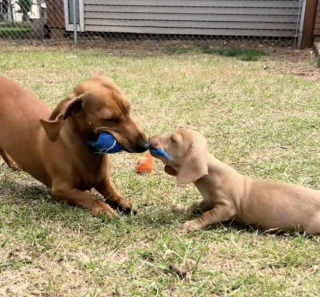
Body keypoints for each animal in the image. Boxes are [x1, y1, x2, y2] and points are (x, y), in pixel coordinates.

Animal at [0, 75, 149, 216]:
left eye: (128, 109)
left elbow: (112, 192)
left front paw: (123, 202)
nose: (145, 144)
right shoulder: (60, 189)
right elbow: (89, 197)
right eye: (110, 119)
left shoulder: (103, 180)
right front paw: (102, 208)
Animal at [151, 128, 320, 234]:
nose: (150, 138)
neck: (210, 175)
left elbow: (207, 215)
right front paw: (182, 208)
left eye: (173, 139)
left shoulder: (226, 207)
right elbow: (196, 205)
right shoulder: (208, 200)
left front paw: (191, 224)